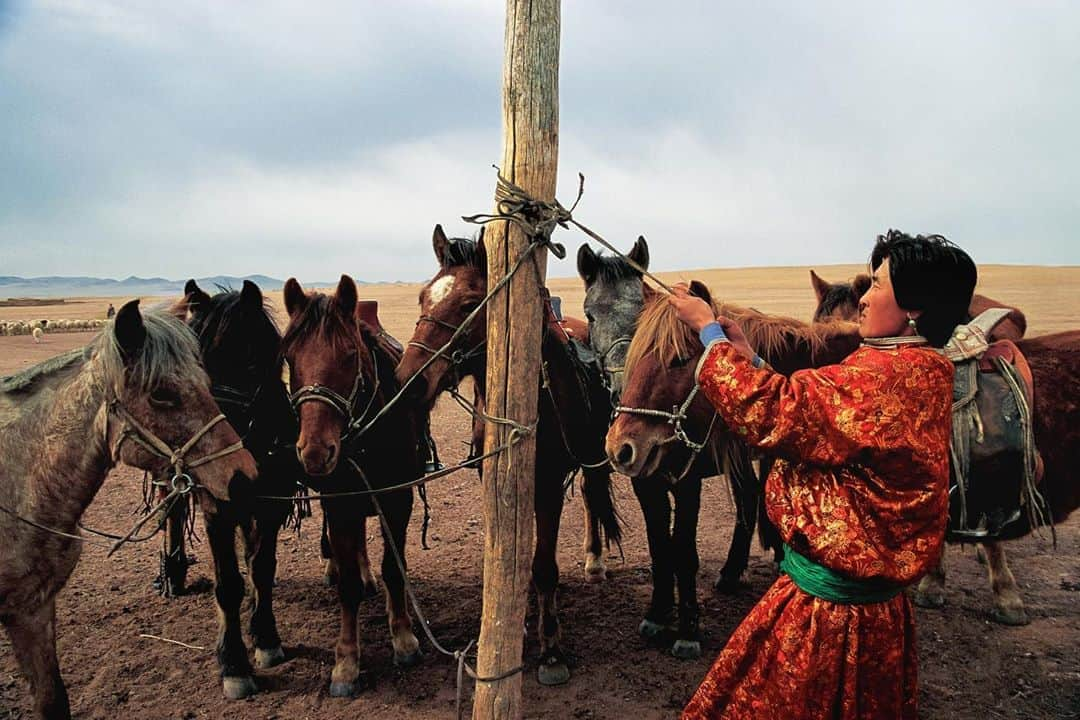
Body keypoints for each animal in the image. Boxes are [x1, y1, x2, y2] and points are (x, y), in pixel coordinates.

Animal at [0, 302, 257, 716]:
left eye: (206, 382)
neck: (20, 481)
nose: (243, 477)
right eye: (162, 395)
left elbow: (53, 700)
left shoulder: (33, 608)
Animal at [280, 273, 423, 695]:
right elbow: (346, 587)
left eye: (347, 355)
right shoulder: (341, 501)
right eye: (289, 358)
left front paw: (404, 639)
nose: (315, 452)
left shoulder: (397, 500)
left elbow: (394, 568)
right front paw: (346, 662)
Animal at [393, 225, 622, 686]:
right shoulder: (496, 481)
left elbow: (544, 566)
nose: (407, 381)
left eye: (469, 304)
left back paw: (594, 561)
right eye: (423, 298)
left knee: (593, 496)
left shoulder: (548, 485)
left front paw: (551, 651)